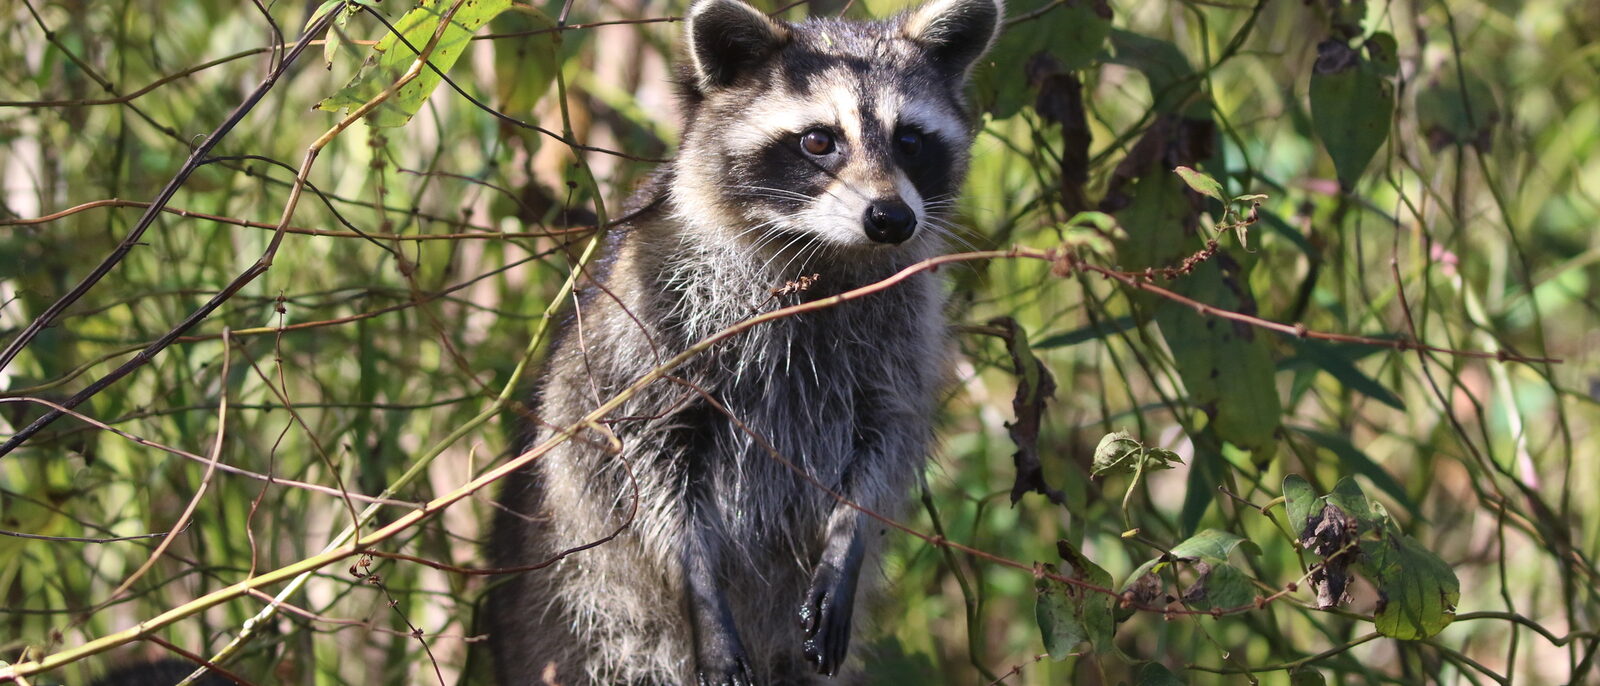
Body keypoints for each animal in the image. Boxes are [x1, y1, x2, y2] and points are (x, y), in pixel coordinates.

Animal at [487, 0, 1000, 683]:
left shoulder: (903, 330)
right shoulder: (653, 319)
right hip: (586, 619)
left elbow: (885, 440)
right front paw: (697, 585)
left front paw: (848, 538)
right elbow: (640, 462)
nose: (891, 219)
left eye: (910, 141)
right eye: (819, 141)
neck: (825, 254)